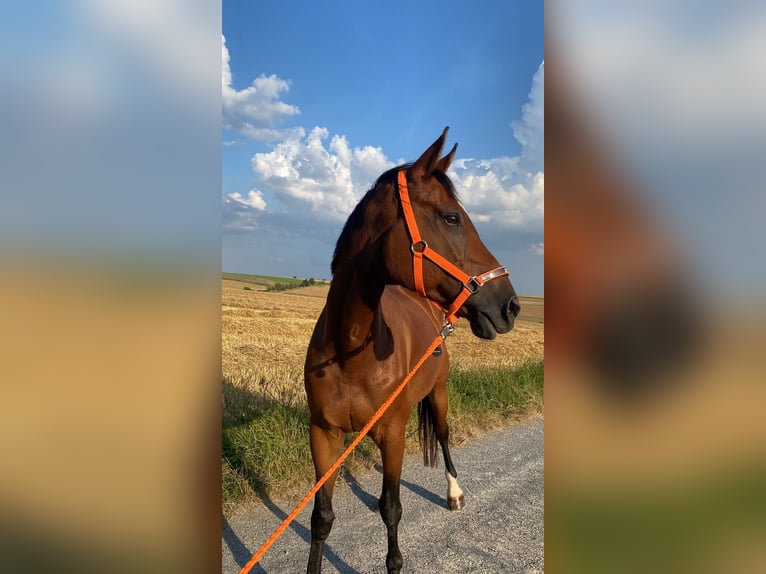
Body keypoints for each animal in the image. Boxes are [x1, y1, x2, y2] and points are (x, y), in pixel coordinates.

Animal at [304, 128, 520, 572]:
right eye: (452, 218)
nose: (510, 305)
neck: (350, 350)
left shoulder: (393, 434)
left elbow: (392, 509)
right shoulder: (324, 434)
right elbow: (321, 517)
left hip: (438, 396)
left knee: (443, 435)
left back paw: (454, 494)